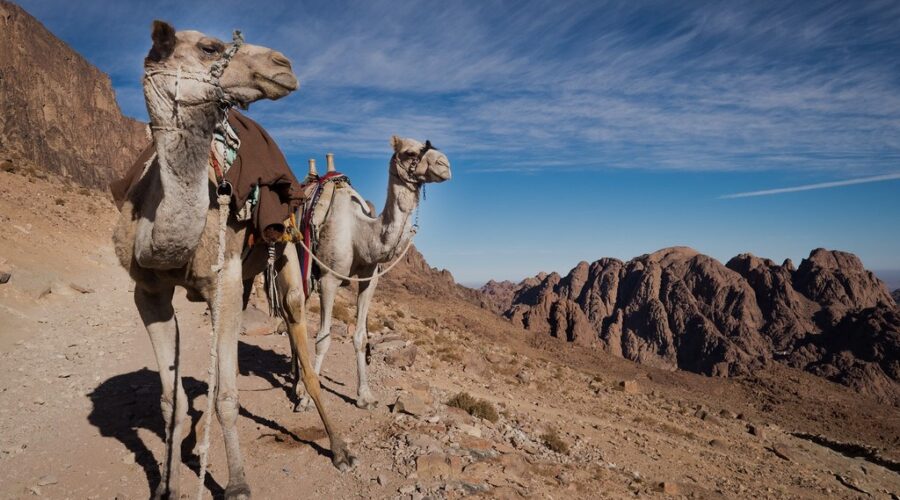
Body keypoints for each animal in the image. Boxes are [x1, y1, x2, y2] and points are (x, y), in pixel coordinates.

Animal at [112, 21, 354, 500]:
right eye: (209, 47)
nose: (284, 64)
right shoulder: (148, 292)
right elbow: (171, 402)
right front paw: (165, 485)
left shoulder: (220, 280)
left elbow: (227, 398)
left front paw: (238, 483)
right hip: (241, 277)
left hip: (286, 249)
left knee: (298, 331)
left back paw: (337, 446)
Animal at [294, 136, 451, 411]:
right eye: (409, 152)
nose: (446, 165)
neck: (359, 232)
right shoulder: (329, 278)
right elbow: (323, 338)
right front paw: (308, 400)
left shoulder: (370, 279)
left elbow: (360, 336)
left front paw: (365, 396)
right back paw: (297, 383)